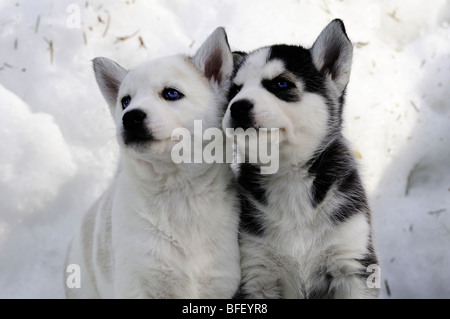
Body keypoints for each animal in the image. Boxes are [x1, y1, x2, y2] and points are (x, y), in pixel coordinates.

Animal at [65, 27, 241, 300]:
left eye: (171, 93)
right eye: (125, 101)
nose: (130, 118)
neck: (178, 192)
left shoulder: (220, 282)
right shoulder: (137, 283)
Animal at [223, 20, 378, 300]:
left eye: (281, 84)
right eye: (234, 90)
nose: (237, 107)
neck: (289, 177)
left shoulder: (352, 263)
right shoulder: (257, 273)